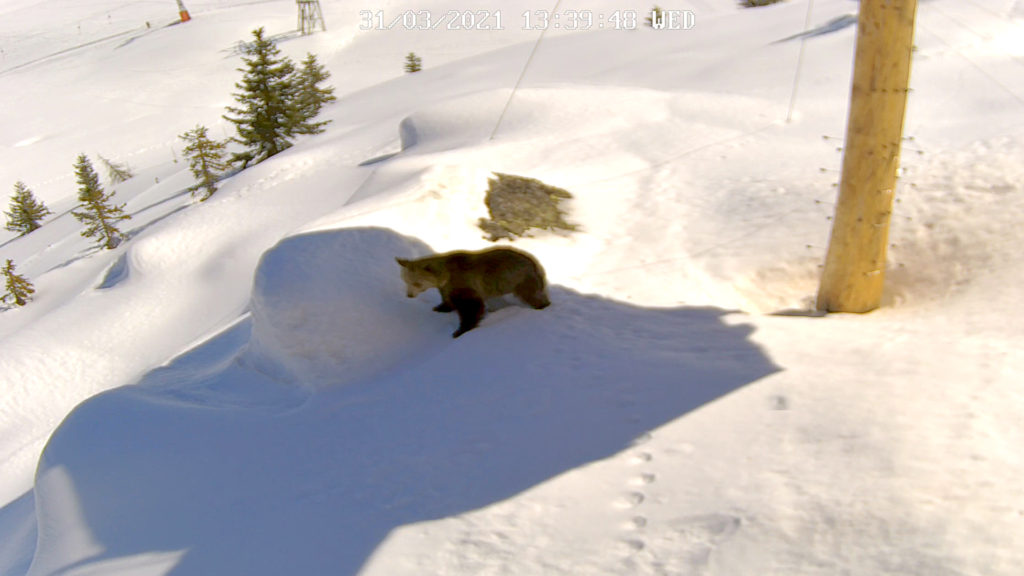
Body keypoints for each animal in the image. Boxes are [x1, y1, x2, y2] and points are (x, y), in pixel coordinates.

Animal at [396, 247, 551, 338]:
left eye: (416, 283)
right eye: (405, 280)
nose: (409, 295)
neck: (445, 276)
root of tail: (534, 262)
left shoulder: (464, 282)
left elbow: (470, 307)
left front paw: (461, 330)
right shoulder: (447, 287)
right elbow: (448, 300)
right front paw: (440, 307)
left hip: (518, 278)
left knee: (531, 295)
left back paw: (542, 305)